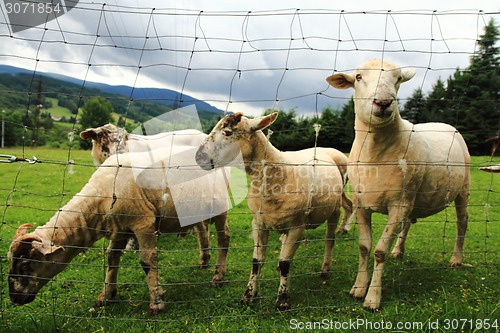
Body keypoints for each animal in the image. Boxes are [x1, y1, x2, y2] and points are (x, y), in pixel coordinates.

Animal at [7, 147, 230, 316]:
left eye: (26, 265)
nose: (14, 298)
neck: (100, 198)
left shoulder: (143, 223)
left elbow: (147, 261)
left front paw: (156, 302)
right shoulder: (120, 228)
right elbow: (112, 258)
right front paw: (106, 296)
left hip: (219, 205)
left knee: (224, 238)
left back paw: (218, 277)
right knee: (201, 230)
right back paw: (204, 261)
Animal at [194, 111, 352, 308]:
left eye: (228, 132)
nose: (198, 157)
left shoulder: (297, 227)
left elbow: (285, 263)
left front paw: (282, 300)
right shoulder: (258, 223)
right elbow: (257, 261)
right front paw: (248, 295)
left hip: (334, 209)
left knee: (329, 240)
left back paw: (325, 269)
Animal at [326, 58, 470, 310]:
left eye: (399, 79)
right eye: (359, 77)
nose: (383, 102)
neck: (376, 153)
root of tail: (445, 124)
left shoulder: (399, 204)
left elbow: (379, 251)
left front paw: (372, 298)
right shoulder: (363, 203)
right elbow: (364, 247)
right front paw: (358, 288)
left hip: (463, 189)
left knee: (462, 223)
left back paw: (456, 258)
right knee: (409, 223)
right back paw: (399, 250)